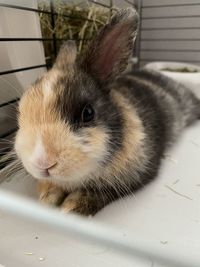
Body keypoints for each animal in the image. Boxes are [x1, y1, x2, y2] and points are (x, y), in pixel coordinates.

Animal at [14, 8, 200, 217]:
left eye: (88, 113)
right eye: (20, 113)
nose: (43, 163)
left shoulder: (136, 175)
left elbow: (100, 192)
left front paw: (71, 207)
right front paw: (47, 198)